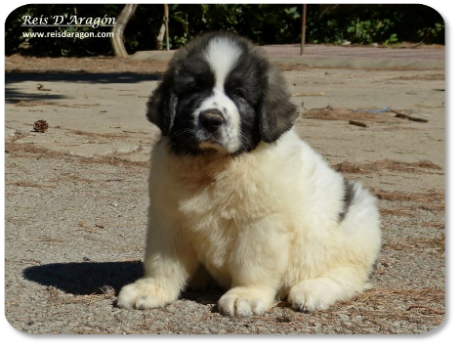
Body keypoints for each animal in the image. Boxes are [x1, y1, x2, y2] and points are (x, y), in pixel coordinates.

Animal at [117, 31, 380, 316]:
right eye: (194, 89)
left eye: (239, 94)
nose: (211, 119)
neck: (215, 166)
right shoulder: (168, 217)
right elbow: (162, 261)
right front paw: (150, 289)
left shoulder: (260, 223)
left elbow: (252, 263)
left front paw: (245, 295)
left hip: (356, 223)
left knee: (347, 276)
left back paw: (312, 291)